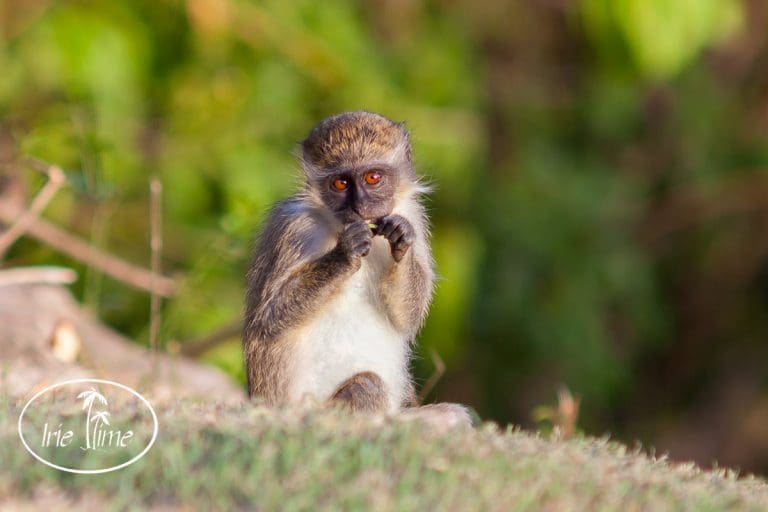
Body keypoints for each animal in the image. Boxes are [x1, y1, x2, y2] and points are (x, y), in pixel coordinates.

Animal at [243, 111, 470, 426]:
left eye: (373, 177)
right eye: (341, 183)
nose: (361, 205)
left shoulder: (413, 214)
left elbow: (408, 318)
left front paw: (400, 238)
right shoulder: (292, 227)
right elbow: (269, 317)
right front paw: (346, 253)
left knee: (454, 417)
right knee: (368, 386)